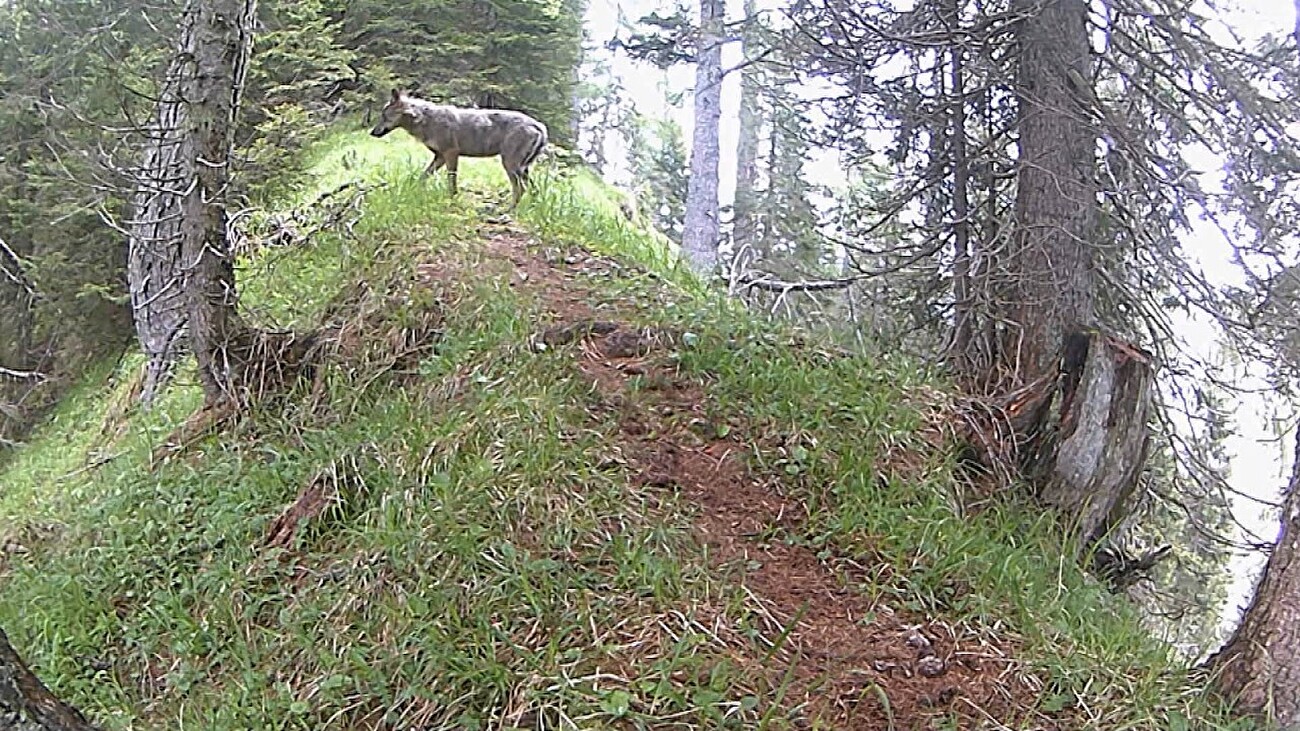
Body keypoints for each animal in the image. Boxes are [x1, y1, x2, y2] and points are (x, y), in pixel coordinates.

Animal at [370, 89, 549, 208]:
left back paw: (509, 209)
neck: (426, 120)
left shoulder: (451, 154)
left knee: (521, 189)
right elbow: (423, 177)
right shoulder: (440, 157)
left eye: (384, 116)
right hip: (522, 168)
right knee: (533, 189)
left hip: (510, 166)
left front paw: (452, 199)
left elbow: (451, 181)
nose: (372, 132)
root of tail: (539, 125)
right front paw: (413, 190)